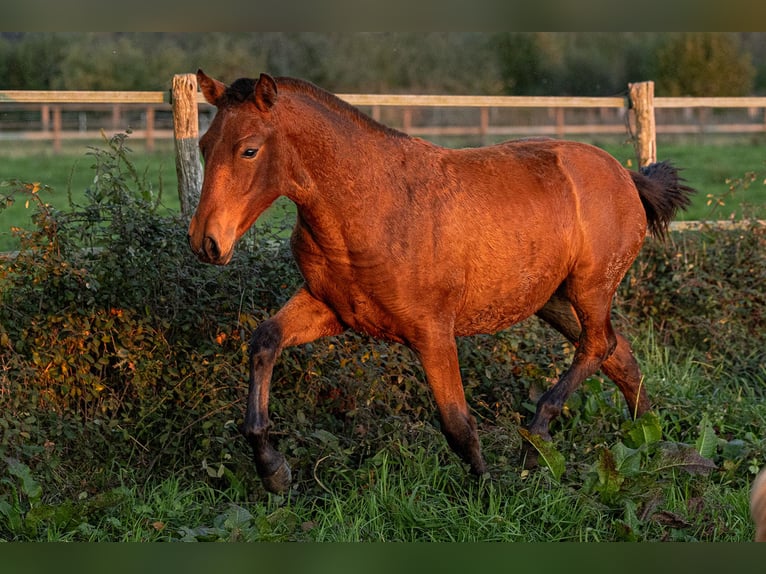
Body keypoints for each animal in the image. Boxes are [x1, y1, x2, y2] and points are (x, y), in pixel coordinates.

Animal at [188, 71, 696, 496]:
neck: (371, 206)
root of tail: (625, 175)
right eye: (204, 145)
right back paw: (653, 443)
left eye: (249, 149)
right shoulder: (330, 308)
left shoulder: (431, 331)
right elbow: (264, 341)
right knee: (619, 355)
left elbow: (456, 422)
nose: (206, 242)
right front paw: (273, 470)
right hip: (552, 301)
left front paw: (488, 492)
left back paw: (536, 441)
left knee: (598, 347)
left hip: (590, 289)